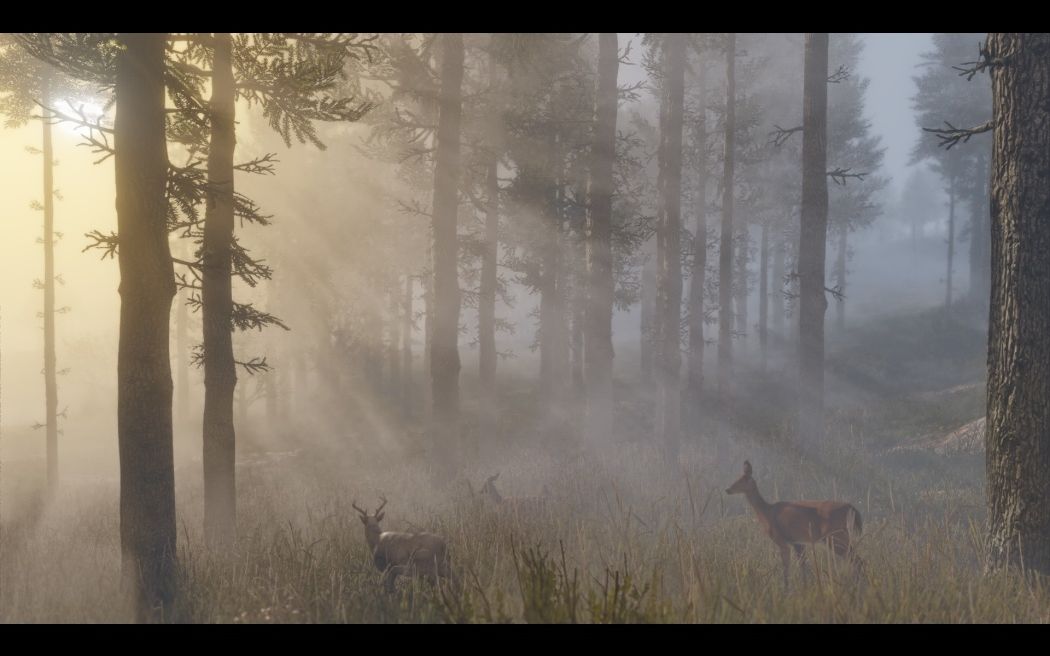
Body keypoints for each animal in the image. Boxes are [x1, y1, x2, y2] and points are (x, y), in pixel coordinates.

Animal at [726, 457, 865, 587]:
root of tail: (851, 508)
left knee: (857, 560)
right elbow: (803, 566)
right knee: (857, 559)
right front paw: (805, 587)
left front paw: (786, 589)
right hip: (840, 536)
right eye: (736, 478)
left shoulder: (782, 540)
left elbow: (786, 567)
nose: (727, 490)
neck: (767, 512)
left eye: (744, 479)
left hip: (835, 536)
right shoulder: (797, 542)